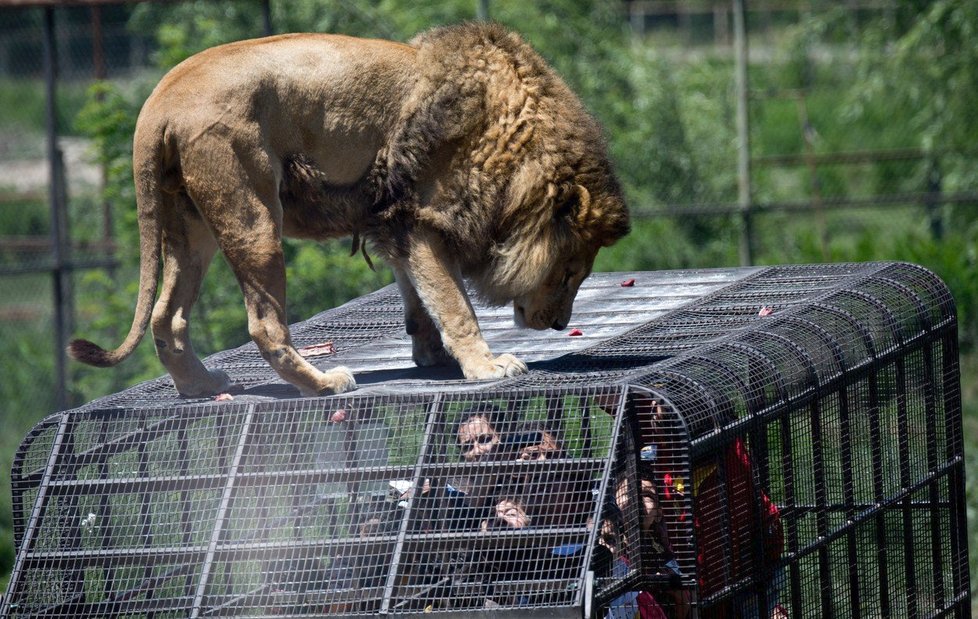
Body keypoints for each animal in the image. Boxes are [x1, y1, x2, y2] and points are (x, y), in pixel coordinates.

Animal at [70, 23, 632, 398]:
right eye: (569, 274)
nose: (559, 325)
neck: (513, 150)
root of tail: (159, 101)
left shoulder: (395, 225)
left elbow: (419, 298)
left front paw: (431, 356)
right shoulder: (421, 220)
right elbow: (455, 304)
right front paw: (486, 367)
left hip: (191, 226)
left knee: (167, 319)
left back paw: (202, 385)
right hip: (252, 214)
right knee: (263, 325)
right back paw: (323, 383)